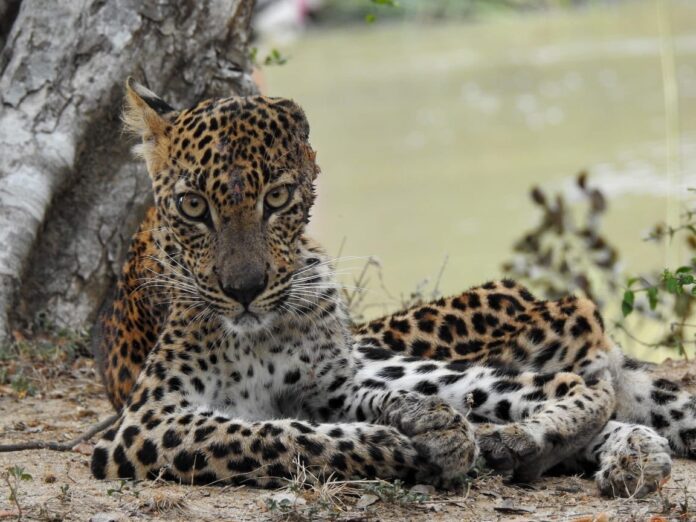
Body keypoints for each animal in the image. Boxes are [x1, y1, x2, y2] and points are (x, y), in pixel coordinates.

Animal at [90, 78, 693, 498]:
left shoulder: (331, 385)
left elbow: (315, 422)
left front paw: (437, 431)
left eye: (277, 199)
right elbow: (277, 437)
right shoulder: (146, 421)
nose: (244, 289)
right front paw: (418, 440)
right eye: (193, 206)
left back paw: (546, 442)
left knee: (575, 382)